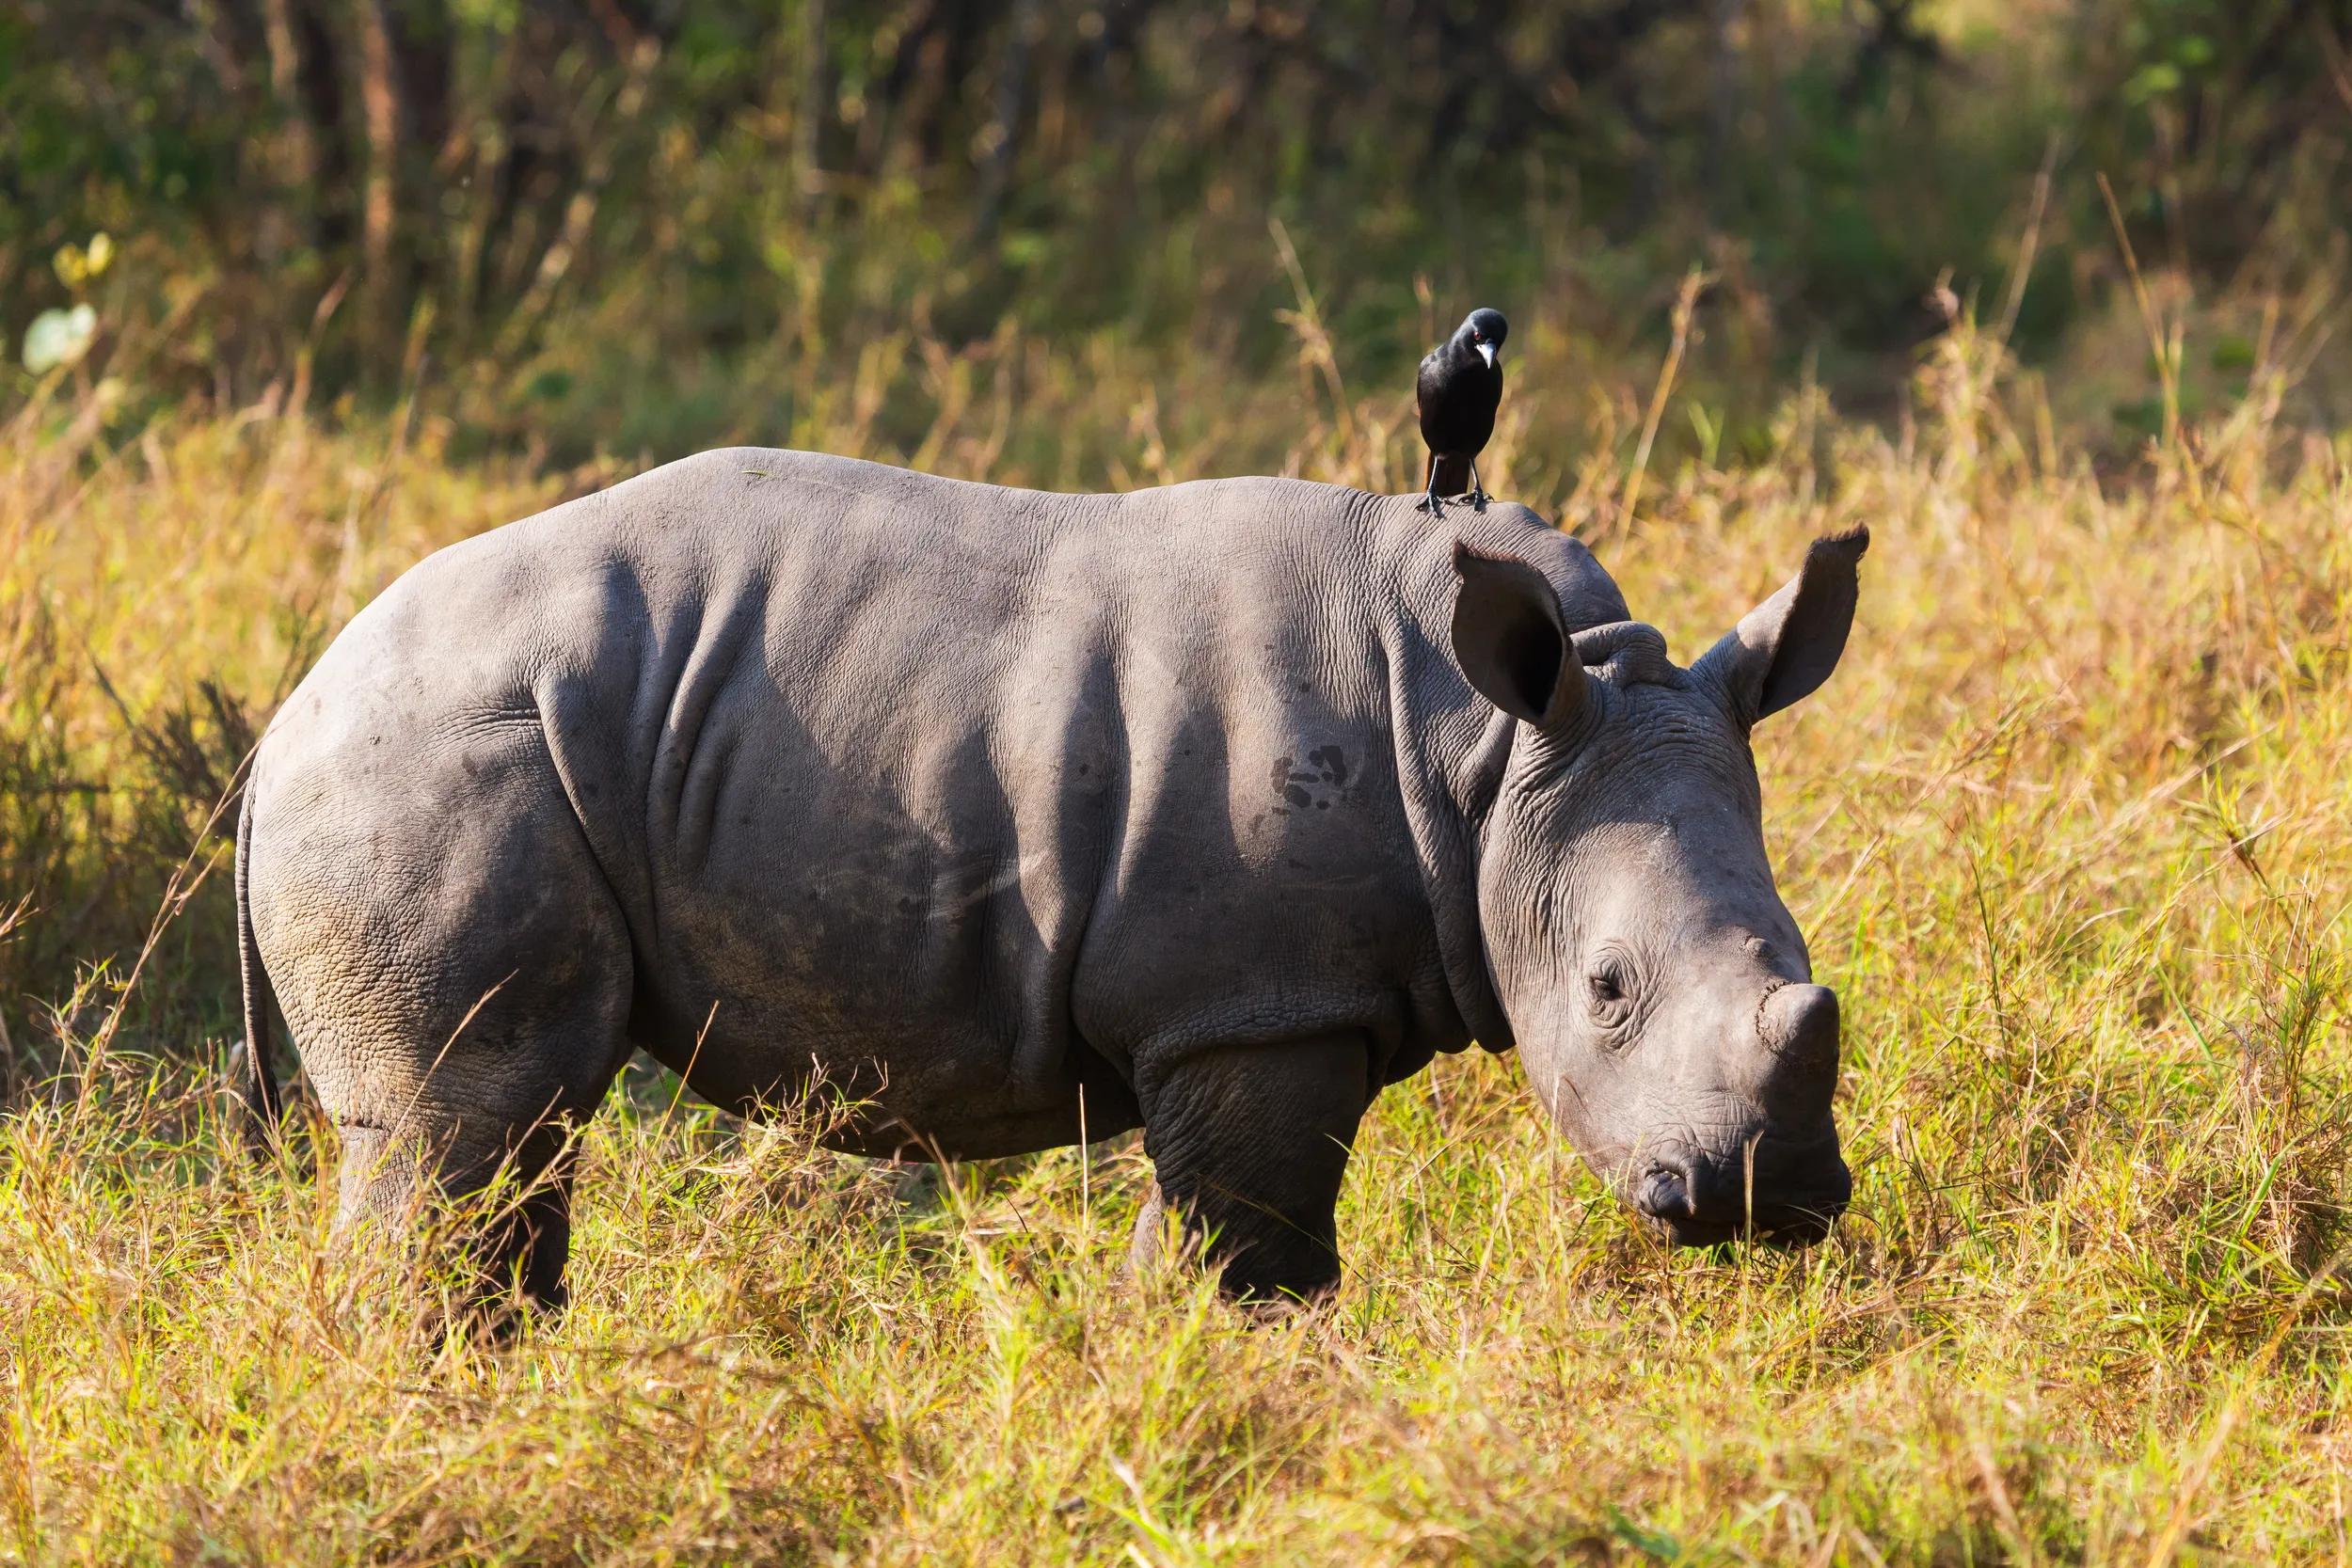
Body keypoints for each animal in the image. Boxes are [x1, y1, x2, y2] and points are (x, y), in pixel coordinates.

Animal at [237, 448, 1867, 1307]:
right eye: (1607, 987)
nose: (1768, 1195)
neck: (1491, 750)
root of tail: (282, 719)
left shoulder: (1264, 999)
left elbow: (1227, 1229)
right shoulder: (1256, 998)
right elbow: (1248, 1238)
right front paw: (1206, 1377)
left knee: (498, 1135)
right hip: (438, 753)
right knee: (472, 1114)